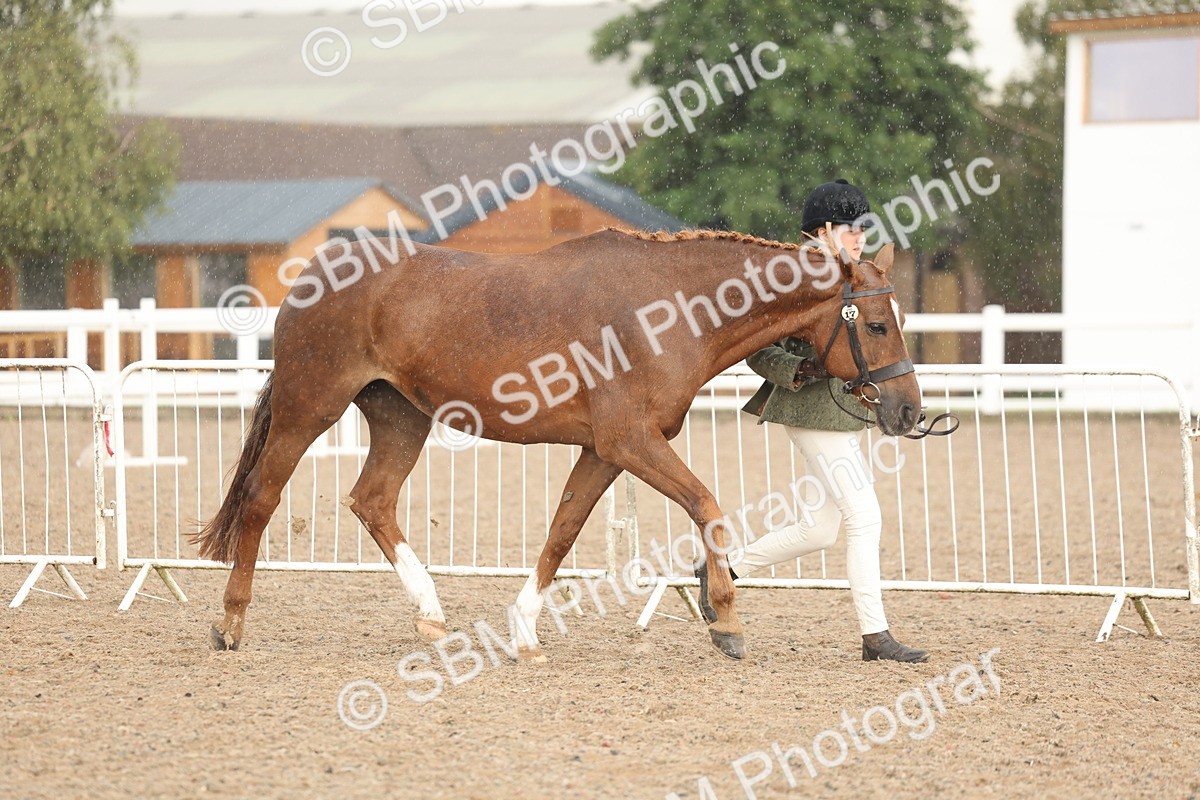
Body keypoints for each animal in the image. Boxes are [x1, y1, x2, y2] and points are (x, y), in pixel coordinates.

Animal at [196, 227, 921, 660]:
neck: (668, 309)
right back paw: (229, 624)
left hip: (401, 417)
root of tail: (314, 275)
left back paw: (431, 615)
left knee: (372, 500)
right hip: (309, 407)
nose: (909, 410)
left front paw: (524, 632)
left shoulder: (603, 451)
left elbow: (563, 531)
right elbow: (707, 508)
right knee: (261, 498)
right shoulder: (631, 443)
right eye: (877, 325)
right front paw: (726, 621)